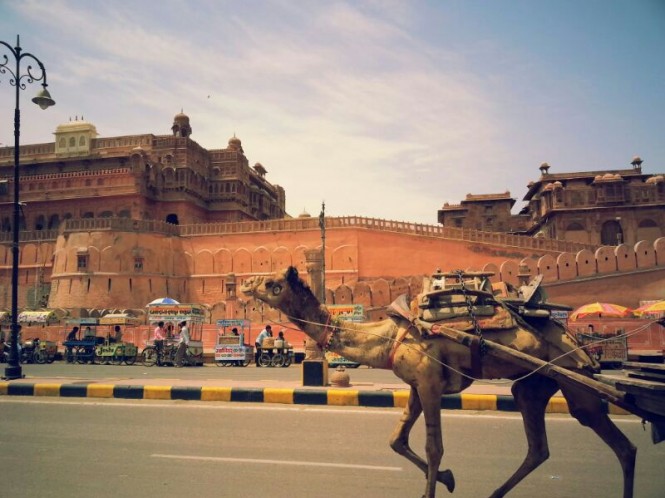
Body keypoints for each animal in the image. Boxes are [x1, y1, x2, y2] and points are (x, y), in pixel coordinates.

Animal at [240, 268, 640, 498]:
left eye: (273, 283)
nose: (244, 284)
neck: (388, 335)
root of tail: (575, 339)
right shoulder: (417, 385)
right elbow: (396, 440)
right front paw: (448, 479)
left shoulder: (430, 382)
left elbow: (434, 448)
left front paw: (437, 484)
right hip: (533, 383)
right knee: (539, 447)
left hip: (573, 379)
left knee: (620, 444)